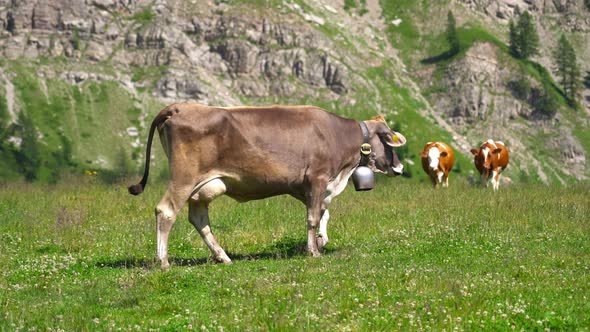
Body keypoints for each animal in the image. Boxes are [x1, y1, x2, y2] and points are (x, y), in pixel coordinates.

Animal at [129, 102, 408, 268]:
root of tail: (179, 107)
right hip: (184, 178)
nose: (399, 167)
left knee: (198, 218)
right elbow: (313, 218)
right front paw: (314, 251)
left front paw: (321, 241)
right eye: (389, 140)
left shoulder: (304, 186)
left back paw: (223, 256)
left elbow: (323, 214)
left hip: (204, 187)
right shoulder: (317, 178)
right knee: (166, 211)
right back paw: (163, 261)